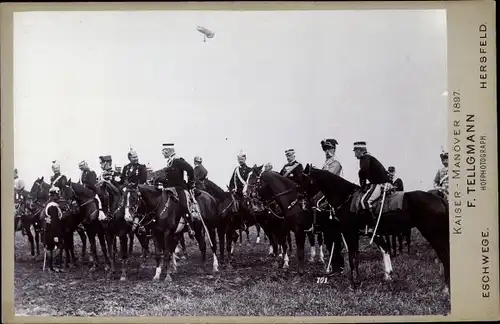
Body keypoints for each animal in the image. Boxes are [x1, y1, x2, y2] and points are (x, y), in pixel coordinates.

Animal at [302, 163, 452, 292]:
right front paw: (386, 275)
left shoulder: (350, 233)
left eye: (303, 181)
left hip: (433, 235)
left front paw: (355, 283)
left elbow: (353, 257)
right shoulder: (371, 233)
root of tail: (439, 199)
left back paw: (446, 288)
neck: (346, 198)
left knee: (445, 256)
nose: (305, 205)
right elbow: (379, 251)